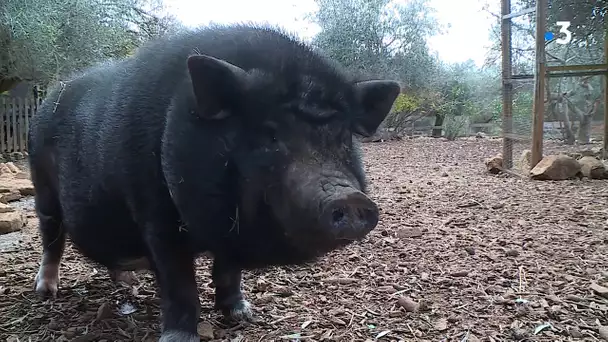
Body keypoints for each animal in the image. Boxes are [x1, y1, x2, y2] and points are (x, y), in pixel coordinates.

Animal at [27, 24, 400, 342]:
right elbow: (179, 283)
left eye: (342, 137)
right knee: (51, 237)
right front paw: (180, 337)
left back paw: (127, 280)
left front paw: (243, 314)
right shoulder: (155, 215)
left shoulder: (230, 232)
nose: (349, 198)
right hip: (42, 186)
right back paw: (45, 292)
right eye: (270, 135)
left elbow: (229, 271)